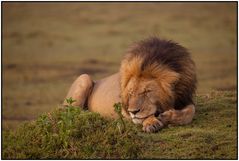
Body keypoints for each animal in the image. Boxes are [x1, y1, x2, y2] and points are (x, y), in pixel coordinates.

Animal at [63, 37, 196, 133]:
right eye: (131, 92)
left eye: (147, 91)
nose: (133, 111)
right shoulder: (124, 111)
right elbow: (142, 117)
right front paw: (151, 123)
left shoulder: (185, 98)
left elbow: (190, 112)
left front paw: (167, 116)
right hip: (84, 77)